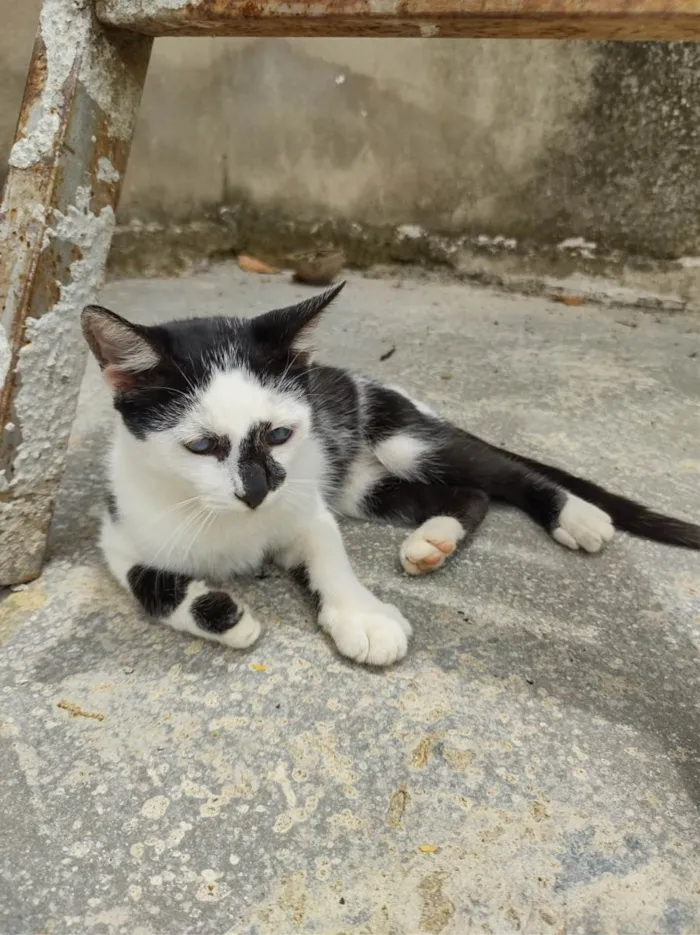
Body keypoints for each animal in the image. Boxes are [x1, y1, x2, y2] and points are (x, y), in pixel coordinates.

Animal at [82, 284, 700, 664]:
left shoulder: (305, 503)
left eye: (279, 435)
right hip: (362, 485)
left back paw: (576, 514)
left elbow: (328, 553)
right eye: (202, 445)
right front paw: (225, 616)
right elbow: (151, 586)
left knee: (504, 473)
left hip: (402, 440)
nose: (257, 491)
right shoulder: (119, 532)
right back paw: (434, 540)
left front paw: (362, 615)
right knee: (469, 494)